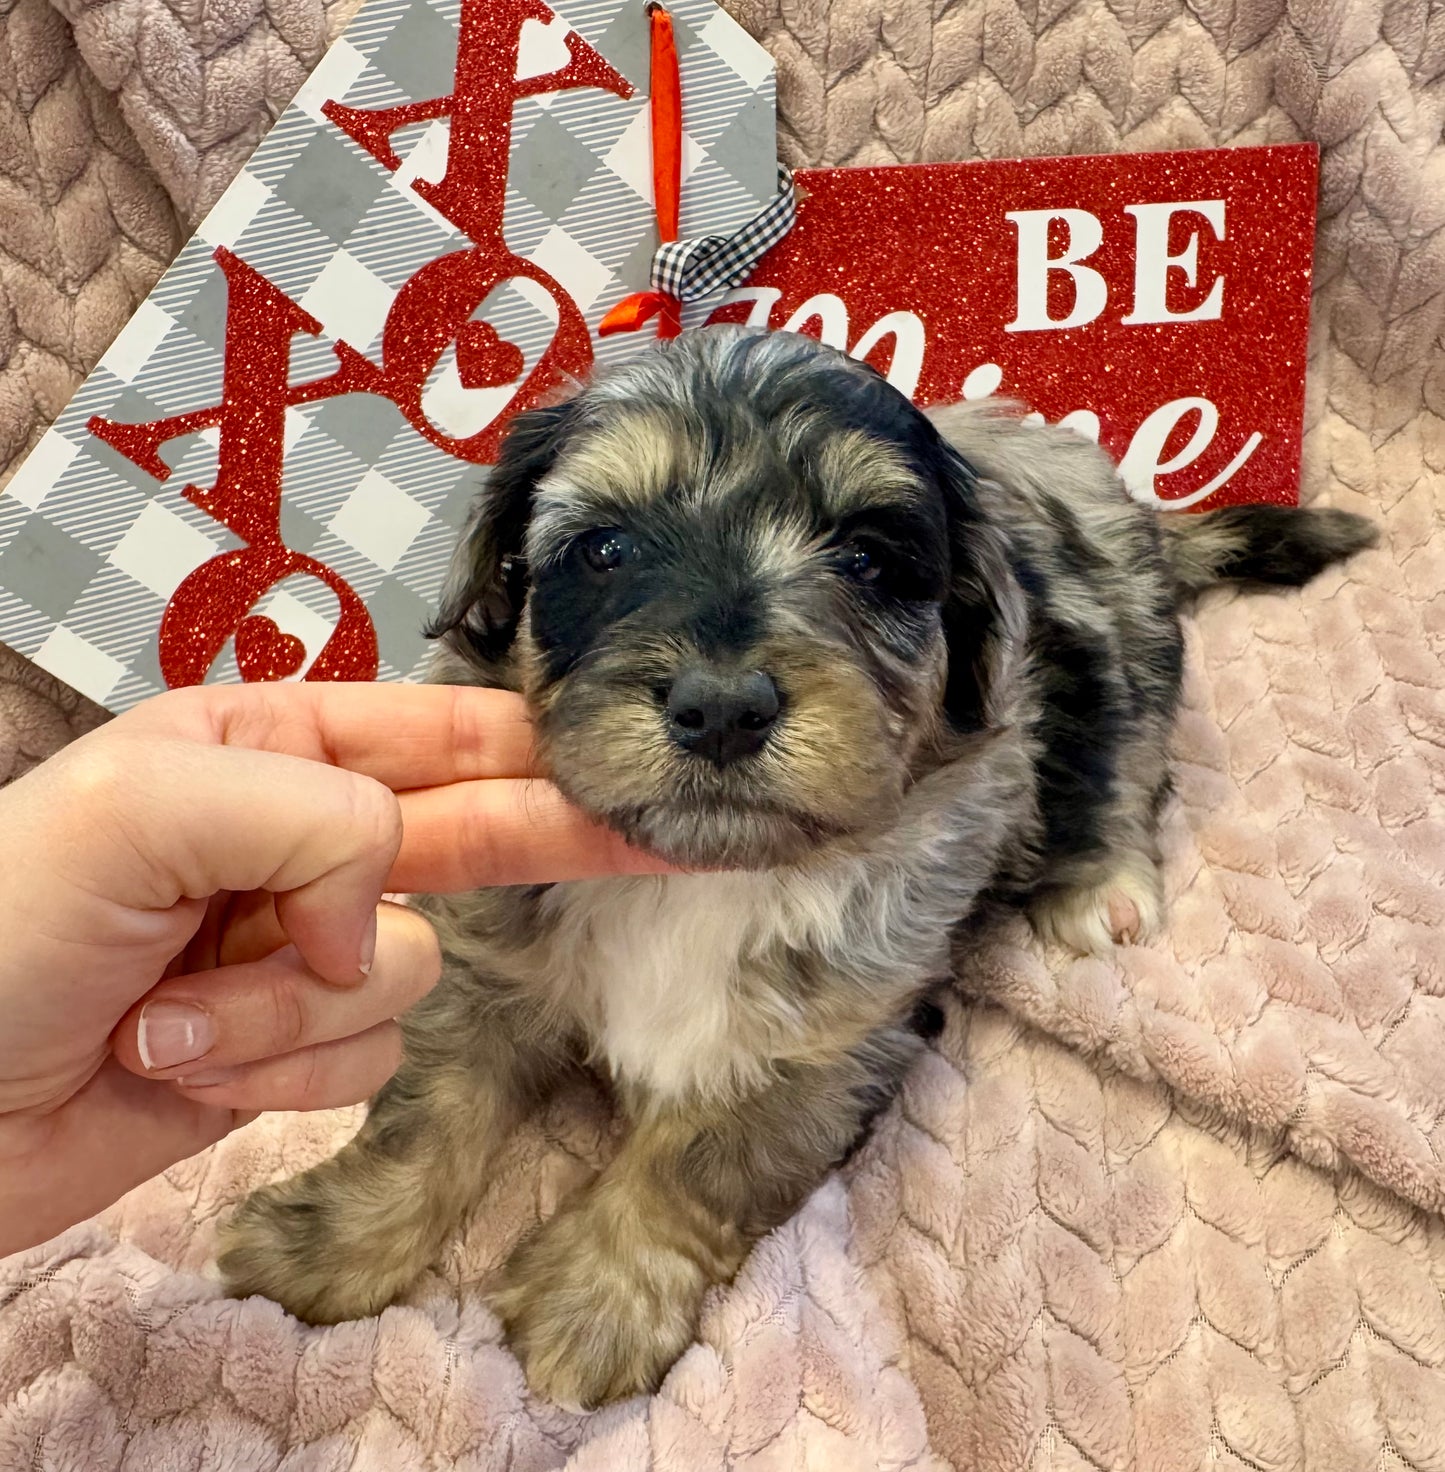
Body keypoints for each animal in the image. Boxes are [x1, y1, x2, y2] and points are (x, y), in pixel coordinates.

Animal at [217, 322, 1377, 1401]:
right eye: (604, 551)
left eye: (864, 558)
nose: (721, 707)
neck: (699, 875)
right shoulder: (483, 962)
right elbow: (424, 1114)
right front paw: (323, 1240)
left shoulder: (830, 1039)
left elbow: (696, 1162)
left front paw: (594, 1304)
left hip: (1120, 646)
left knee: (1126, 755)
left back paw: (1099, 880)